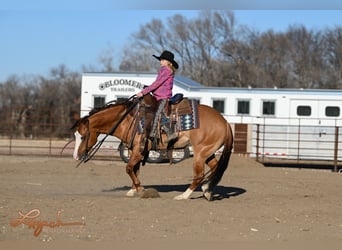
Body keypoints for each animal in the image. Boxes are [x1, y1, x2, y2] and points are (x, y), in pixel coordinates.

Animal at [71, 94, 232, 201]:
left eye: (83, 137)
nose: (75, 156)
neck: (127, 120)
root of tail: (224, 122)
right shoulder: (134, 151)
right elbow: (135, 169)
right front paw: (133, 190)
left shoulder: (138, 151)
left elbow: (128, 168)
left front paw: (140, 188)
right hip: (208, 152)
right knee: (216, 167)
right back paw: (207, 190)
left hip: (200, 153)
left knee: (199, 175)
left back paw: (184, 195)